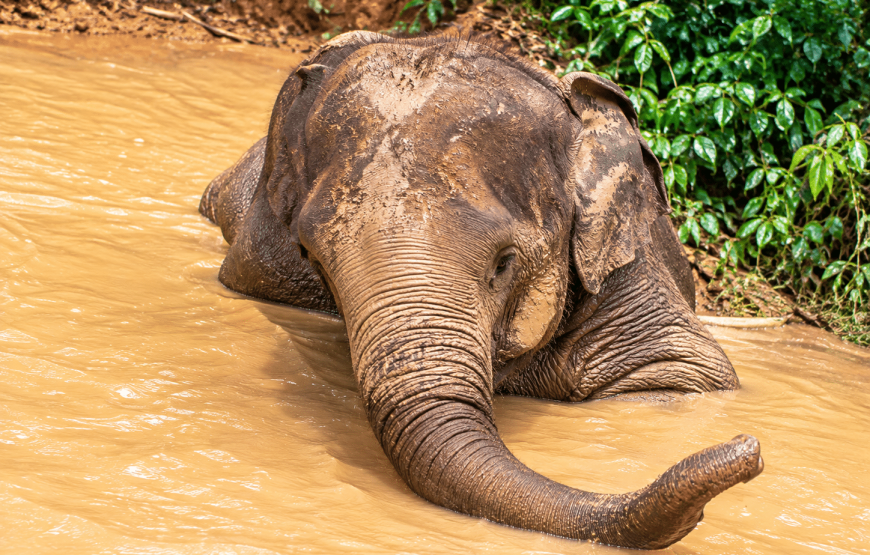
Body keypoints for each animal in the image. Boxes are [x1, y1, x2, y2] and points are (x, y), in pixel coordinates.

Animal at [199, 31, 763, 549]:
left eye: (504, 263)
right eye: (310, 257)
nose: (751, 448)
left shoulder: (625, 272)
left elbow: (678, 375)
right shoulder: (264, 260)